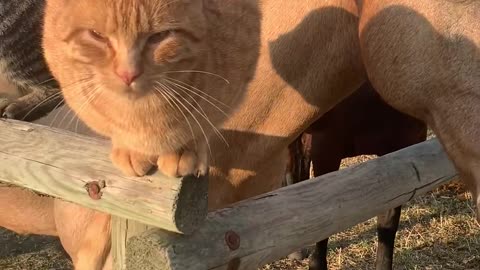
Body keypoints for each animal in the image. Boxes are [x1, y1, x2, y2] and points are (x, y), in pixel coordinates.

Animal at [42, 0, 260, 177]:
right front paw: (129, 149)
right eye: (97, 35)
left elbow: (200, 126)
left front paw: (184, 149)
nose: (128, 74)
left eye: (160, 36)